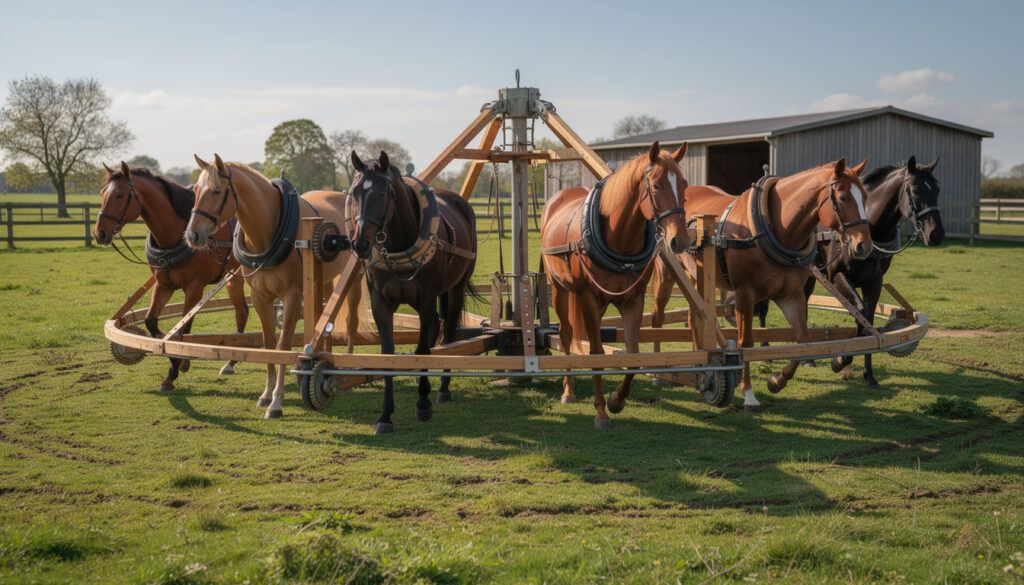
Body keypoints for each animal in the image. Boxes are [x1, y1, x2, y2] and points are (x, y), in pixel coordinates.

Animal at [93, 162, 249, 391]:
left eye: (120, 194)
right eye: (103, 193)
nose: (99, 233)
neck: (176, 235)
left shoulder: (195, 287)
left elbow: (184, 326)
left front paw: (176, 366)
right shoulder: (163, 284)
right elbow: (151, 321)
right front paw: (163, 349)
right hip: (233, 279)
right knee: (242, 310)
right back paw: (230, 362)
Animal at [184, 155, 367, 419]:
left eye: (217, 191)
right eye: (196, 191)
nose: (192, 235)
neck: (270, 232)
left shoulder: (291, 295)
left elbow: (283, 345)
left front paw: (277, 401)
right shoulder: (261, 296)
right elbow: (269, 342)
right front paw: (266, 394)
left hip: (353, 278)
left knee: (351, 323)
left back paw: (348, 375)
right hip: (324, 281)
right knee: (327, 323)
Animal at [346, 150, 478, 435]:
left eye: (383, 193)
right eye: (355, 193)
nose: (360, 243)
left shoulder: (426, 300)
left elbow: (422, 350)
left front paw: (423, 404)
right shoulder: (380, 303)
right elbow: (388, 355)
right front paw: (385, 415)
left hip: (455, 289)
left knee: (447, 331)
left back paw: (441, 389)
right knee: (436, 328)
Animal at [540, 141, 689, 429]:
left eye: (685, 185)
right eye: (656, 185)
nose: (681, 241)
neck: (620, 240)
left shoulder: (633, 300)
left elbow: (632, 356)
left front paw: (616, 400)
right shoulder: (589, 298)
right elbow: (597, 353)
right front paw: (600, 412)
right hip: (558, 289)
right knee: (565, 335)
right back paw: (568, 389)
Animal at [649, 159, 873, 412]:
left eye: (865, 196)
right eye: (843, 197)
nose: (864, 245)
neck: (773, 227)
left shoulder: (791, 295)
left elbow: (803, 341)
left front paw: (776, 381)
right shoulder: (744, 294)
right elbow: (745, 342)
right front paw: (748, 394)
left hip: (695, 276)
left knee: (694, 317)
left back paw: (700, 362)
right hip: (667, 273)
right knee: (657, 317)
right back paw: (657, 375)